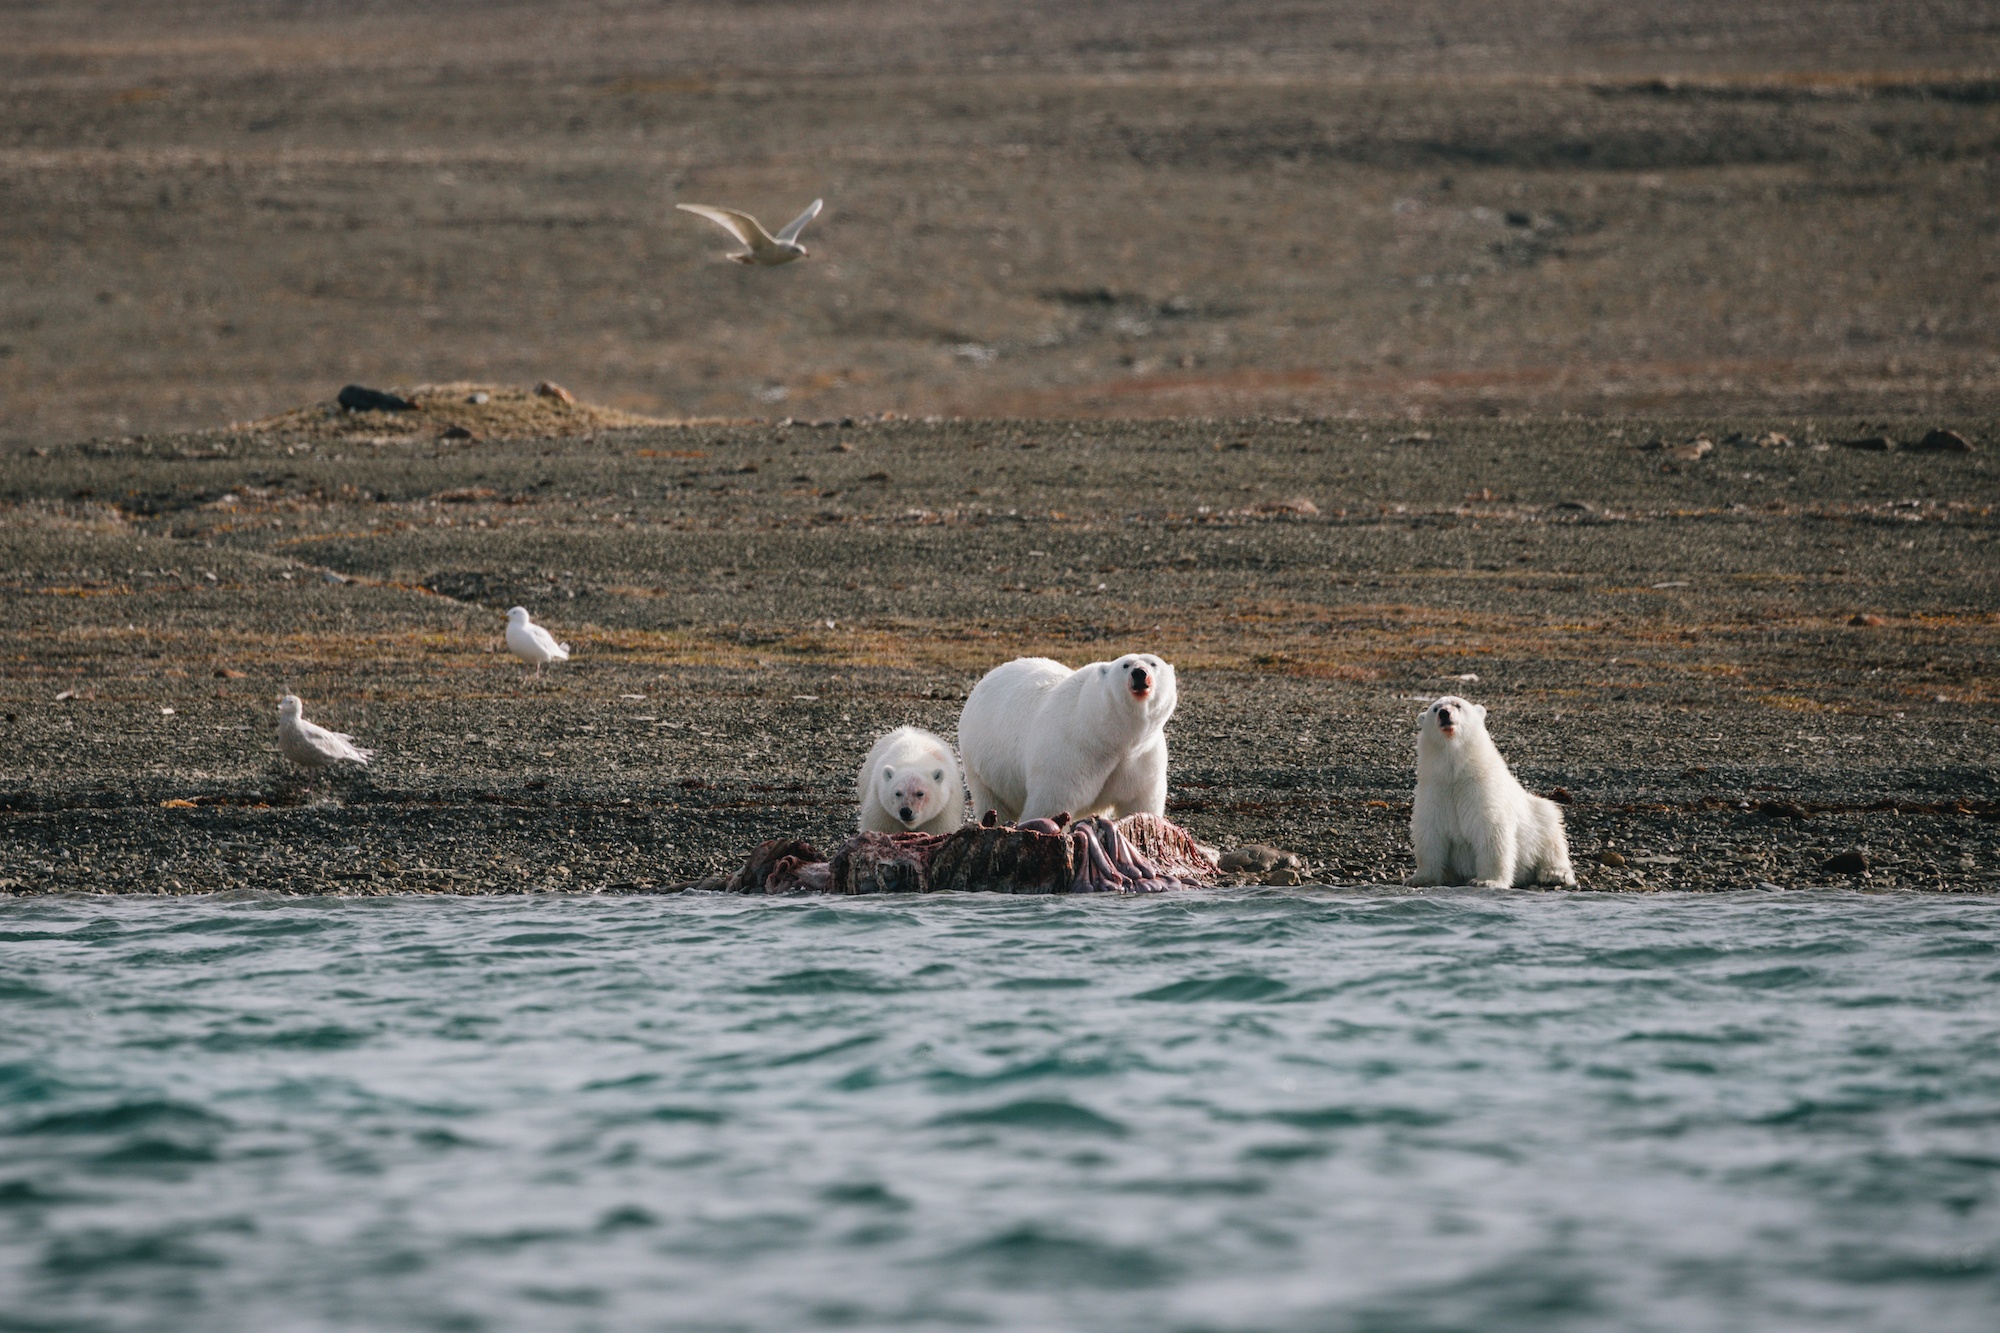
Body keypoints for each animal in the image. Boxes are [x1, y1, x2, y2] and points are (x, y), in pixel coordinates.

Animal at [960, 652, 1176, 824]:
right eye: (1126, 665)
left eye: (1153, 663)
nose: (1139, 673)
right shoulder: (1072, 751)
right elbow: (1052, 803)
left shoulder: (1142, 758)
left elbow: (1140, 801)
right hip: (982, 765)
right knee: (994, 802)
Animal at [1408, 688, 1576, 888]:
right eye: (1435, 708)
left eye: (1458, 705)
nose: (1444, 713)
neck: (1456, 772)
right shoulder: (1435, 788)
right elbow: (1430, 834)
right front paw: (1420, 878)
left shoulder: (1482, 787)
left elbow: (1492, 830)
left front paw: (1486, 881)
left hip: (1539, 819)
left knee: (1552, 838)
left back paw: (1555, 874)